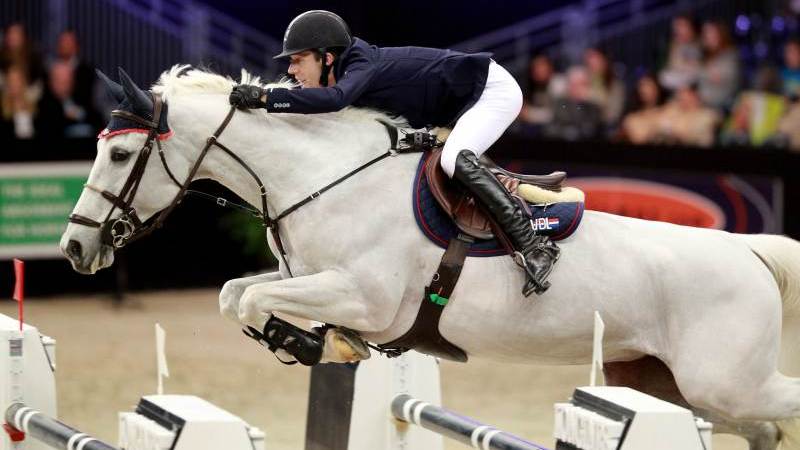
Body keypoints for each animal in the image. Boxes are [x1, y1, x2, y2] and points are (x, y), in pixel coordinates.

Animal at [61, 67, 800, 450]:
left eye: (120, 154)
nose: (74, 246)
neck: (322, 176)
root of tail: (749, 252)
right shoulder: (309, 278)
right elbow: (234, 294)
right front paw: (323, 345)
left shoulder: (364, 295)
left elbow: (253, 299)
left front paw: (321, 343)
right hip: (662, 381)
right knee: (761, 428)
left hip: (721, 379)